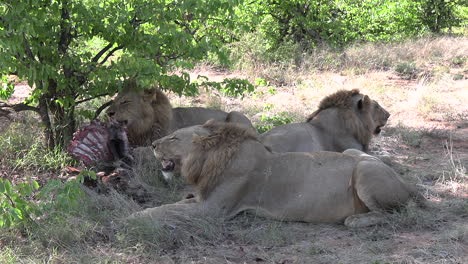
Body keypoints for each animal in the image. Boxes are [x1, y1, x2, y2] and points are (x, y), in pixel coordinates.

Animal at [129, 120, 424, 228]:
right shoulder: (202, 201)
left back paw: (355, 220)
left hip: (364, 170)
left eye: (174, 138)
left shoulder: (213, 210)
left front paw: (135, 217)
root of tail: (407, 184)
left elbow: (165, 211)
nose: (152, 144)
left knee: (397, 213)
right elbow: (174, 204)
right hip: (353, 152)